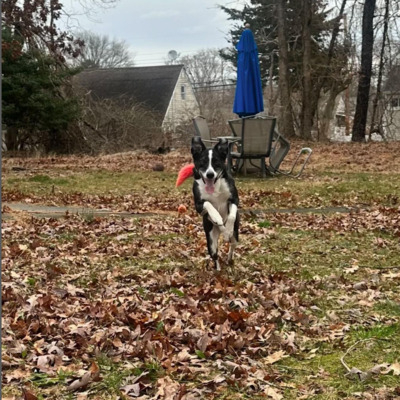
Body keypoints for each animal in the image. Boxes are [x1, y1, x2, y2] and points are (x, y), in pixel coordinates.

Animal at [191, 136, 238, 270]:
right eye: (202, 162)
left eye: (217, 162)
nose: (210, 174)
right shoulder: (198, 205)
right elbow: (208, 204)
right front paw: (217, 217)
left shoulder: (234, 199)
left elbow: (231, 216)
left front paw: (228, 228)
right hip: (210, 241)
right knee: (215, 256)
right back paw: (218, 270)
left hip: (236, 234)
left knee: (233, 244)